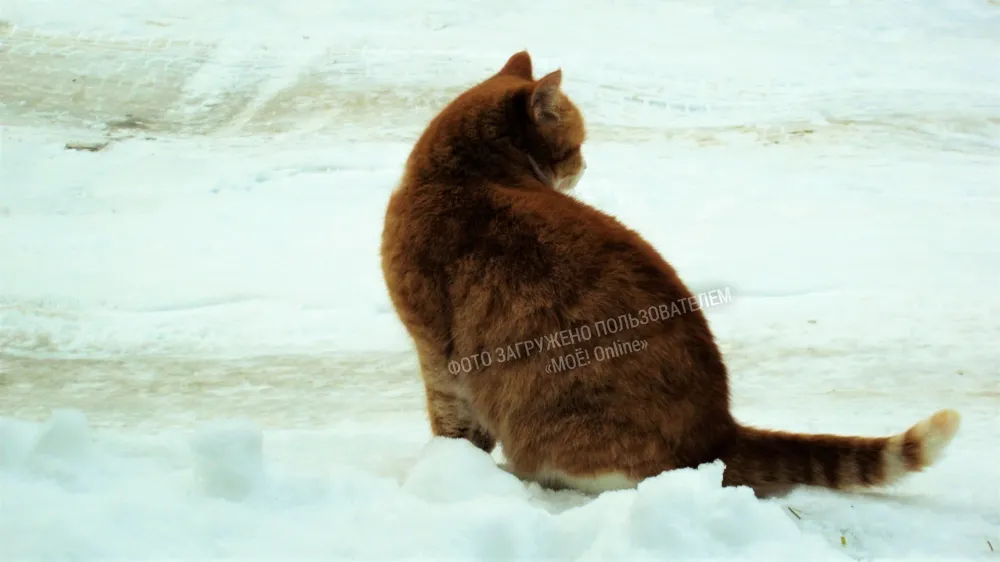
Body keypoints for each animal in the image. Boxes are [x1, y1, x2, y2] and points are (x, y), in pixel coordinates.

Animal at [380, 50, 960, 496]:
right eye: (576, 147)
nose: (584, 167)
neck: (464, 172)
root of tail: (720, 433)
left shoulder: (438, 356)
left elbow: (454, 430)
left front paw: (450, 471)